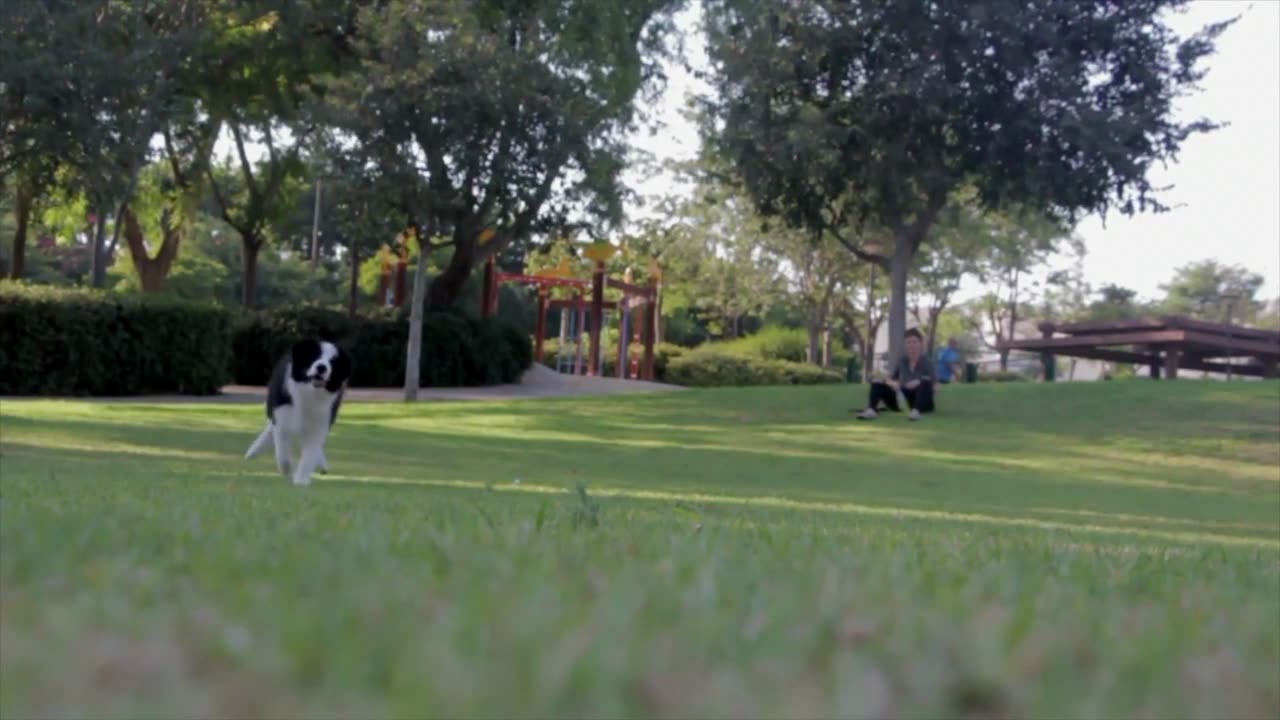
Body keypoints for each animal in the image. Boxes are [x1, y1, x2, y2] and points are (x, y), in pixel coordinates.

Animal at [243, 338, 350, 484]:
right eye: (314, 356)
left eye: (333, 362)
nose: (321, 367)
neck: (308, 394)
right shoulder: (282, 418)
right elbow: (282, 456)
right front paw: (289, 474)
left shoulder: (321, 421)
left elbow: (310, 454)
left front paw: (301, 481)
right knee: (270, 429)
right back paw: (252, 452)